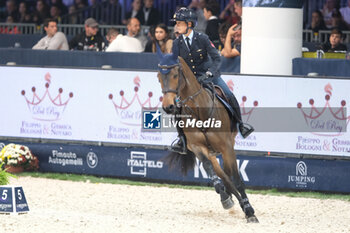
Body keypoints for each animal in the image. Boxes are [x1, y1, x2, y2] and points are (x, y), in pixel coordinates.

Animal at [157, 46, 258, 223]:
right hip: (211, 152)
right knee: (223, 176)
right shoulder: (198, 147)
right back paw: (228, 198)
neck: (200, 111)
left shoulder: (227, 148)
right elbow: (209, 170)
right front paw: (225, 197)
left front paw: (250, 212)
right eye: (158, 77)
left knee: (230, 176)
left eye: (175, 75)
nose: (168, 107)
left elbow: (237, 179)